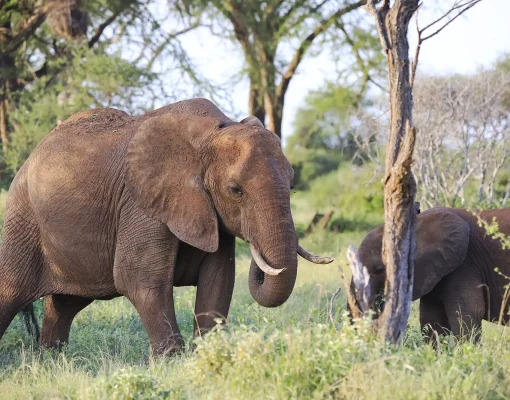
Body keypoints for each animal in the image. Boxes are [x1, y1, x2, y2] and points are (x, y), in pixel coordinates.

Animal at [0, 98, 332, 354]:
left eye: (292, 184)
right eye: (235, 190)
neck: (212, 132)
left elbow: (219, 279)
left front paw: (207, 354)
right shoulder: (141, 202)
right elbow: (140, 279)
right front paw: (172, 360)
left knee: (64, 305)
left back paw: (52, 359)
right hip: (22, 219)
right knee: (10, 293)